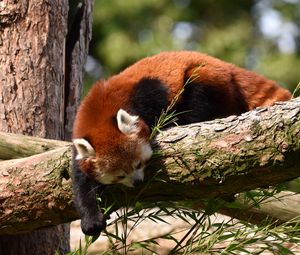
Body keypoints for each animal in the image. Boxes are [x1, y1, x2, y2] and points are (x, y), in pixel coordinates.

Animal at [71, 50, 292, 235]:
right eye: (119, 176)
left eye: (139, 164)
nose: (137, 182)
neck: (99, 112)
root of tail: (226, 66)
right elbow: (81, 184)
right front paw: (90, 219)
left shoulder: (148, 92)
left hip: (206, 78)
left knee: (197, 96)